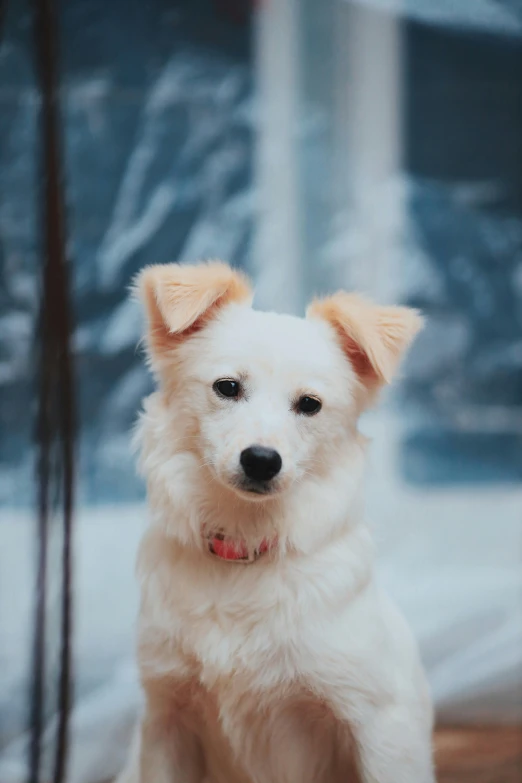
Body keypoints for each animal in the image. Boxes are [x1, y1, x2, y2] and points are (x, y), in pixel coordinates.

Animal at [116, 262, 432, 783]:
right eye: (227, 387)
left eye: (310, 404)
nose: (262, 460)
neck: (245, 548)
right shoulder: (166, 717)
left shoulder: (381, 724)